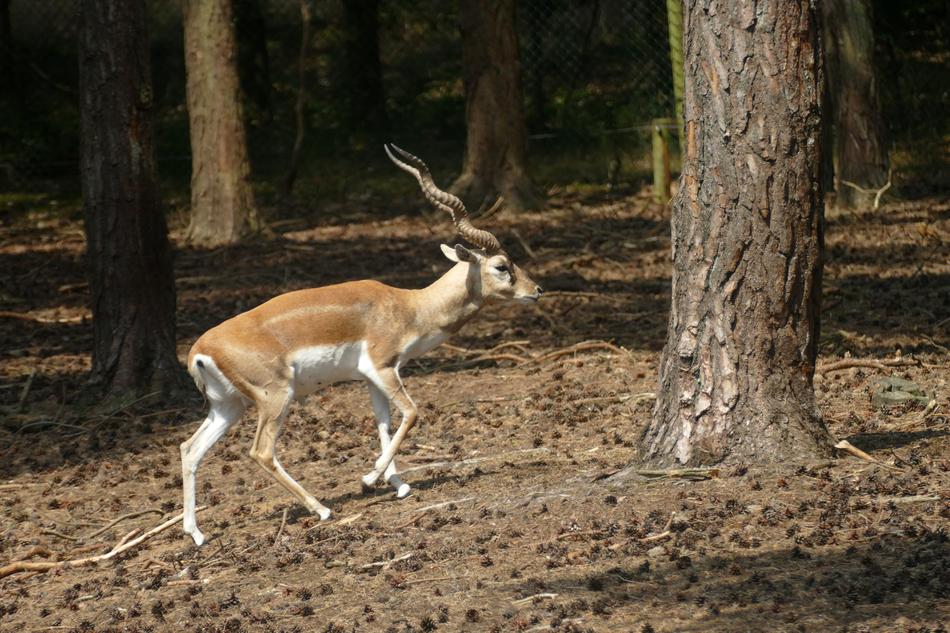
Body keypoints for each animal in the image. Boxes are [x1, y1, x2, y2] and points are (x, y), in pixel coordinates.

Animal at [179, 145, 543, 545]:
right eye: (502, 265)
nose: (537, 290)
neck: (410, 307)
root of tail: (199, 349)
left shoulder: (370, 378)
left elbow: (384, 424)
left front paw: (396, 483)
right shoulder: (384, 367)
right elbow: (412, 413)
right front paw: (370, 477)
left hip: (227, 406)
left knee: (189, 450)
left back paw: (196, 533)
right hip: (275, 397)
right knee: (261, 452)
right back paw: (321, 509)